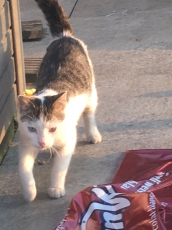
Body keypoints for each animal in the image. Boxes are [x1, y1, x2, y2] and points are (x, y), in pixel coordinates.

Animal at [17, 0, 101, 201]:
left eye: (52, 128)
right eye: (32, 129)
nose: (42, 144)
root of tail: (64, 36)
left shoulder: (68, 139)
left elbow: (60, 167)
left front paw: (55, 187)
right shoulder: (26, 142)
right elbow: (23, 167)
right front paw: (29, 191)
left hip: (91, 90)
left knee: (89, 112)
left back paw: (93, 134)